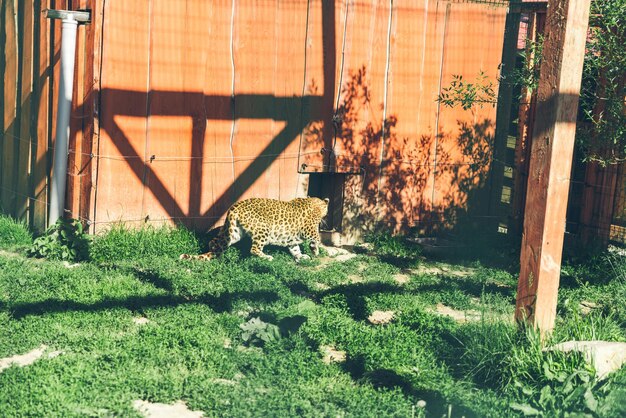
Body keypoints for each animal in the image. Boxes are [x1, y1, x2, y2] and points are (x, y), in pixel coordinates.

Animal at [179, 197, 330, 262]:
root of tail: (235, 207)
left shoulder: (293, 237)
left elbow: (295, 248)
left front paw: (301, 256)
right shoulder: (309, 228)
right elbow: (317, 238)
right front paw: (315, 250)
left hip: (235, 232)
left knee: (215, 241)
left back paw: (216, 252)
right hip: (263, 229)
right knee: (254, 249)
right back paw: (267, 257)